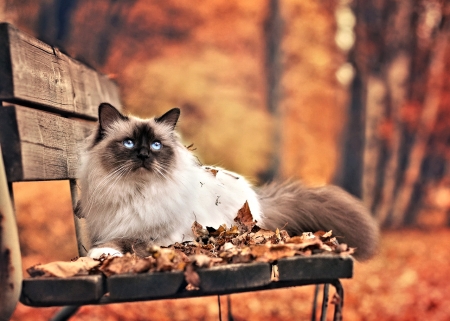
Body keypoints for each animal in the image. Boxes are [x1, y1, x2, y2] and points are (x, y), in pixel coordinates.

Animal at [78, 102, 380, 260]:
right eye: (129, 143)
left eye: (155, 145)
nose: (143, 155)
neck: (137, 192)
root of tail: (256, 200)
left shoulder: (161, 236)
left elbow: (127, 241)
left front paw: (101, 253)